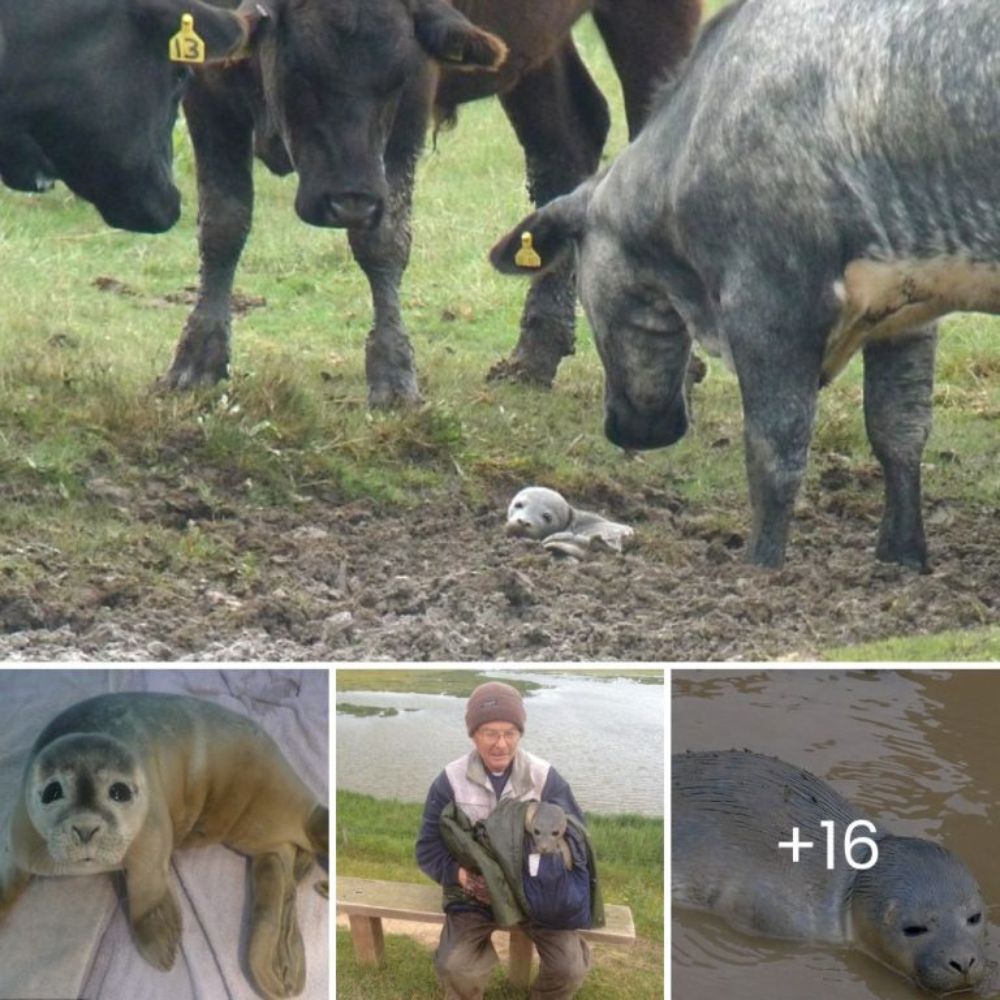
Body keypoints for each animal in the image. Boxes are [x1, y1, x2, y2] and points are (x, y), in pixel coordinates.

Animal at [164, 0, 700, 406]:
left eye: (396, 77)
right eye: (300, 70)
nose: (350, 202)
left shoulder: (413, 104)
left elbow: (383, 242)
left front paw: (394, 375)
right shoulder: (206, 89)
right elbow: (222, 225)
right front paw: (195, 362)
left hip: (653, 21)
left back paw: (676, 364)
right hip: (536, 56)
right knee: (566, 144)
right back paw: (532, 357)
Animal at [492, 0, 1000, 568]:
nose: (633, 430)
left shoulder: (769, 303)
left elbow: (774, 450)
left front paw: (762, 565)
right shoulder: (906, 301)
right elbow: (900, 429)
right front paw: (902, 557)